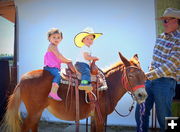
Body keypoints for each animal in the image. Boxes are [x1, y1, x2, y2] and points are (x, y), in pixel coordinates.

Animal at [0, 52, 148, 131]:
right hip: (34, 111)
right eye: (131, 75)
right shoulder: (100, 117)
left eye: (144, 76)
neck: (108, 88)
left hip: (37, 111)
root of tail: (22, 79)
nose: (142, 95)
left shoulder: (94, 117)